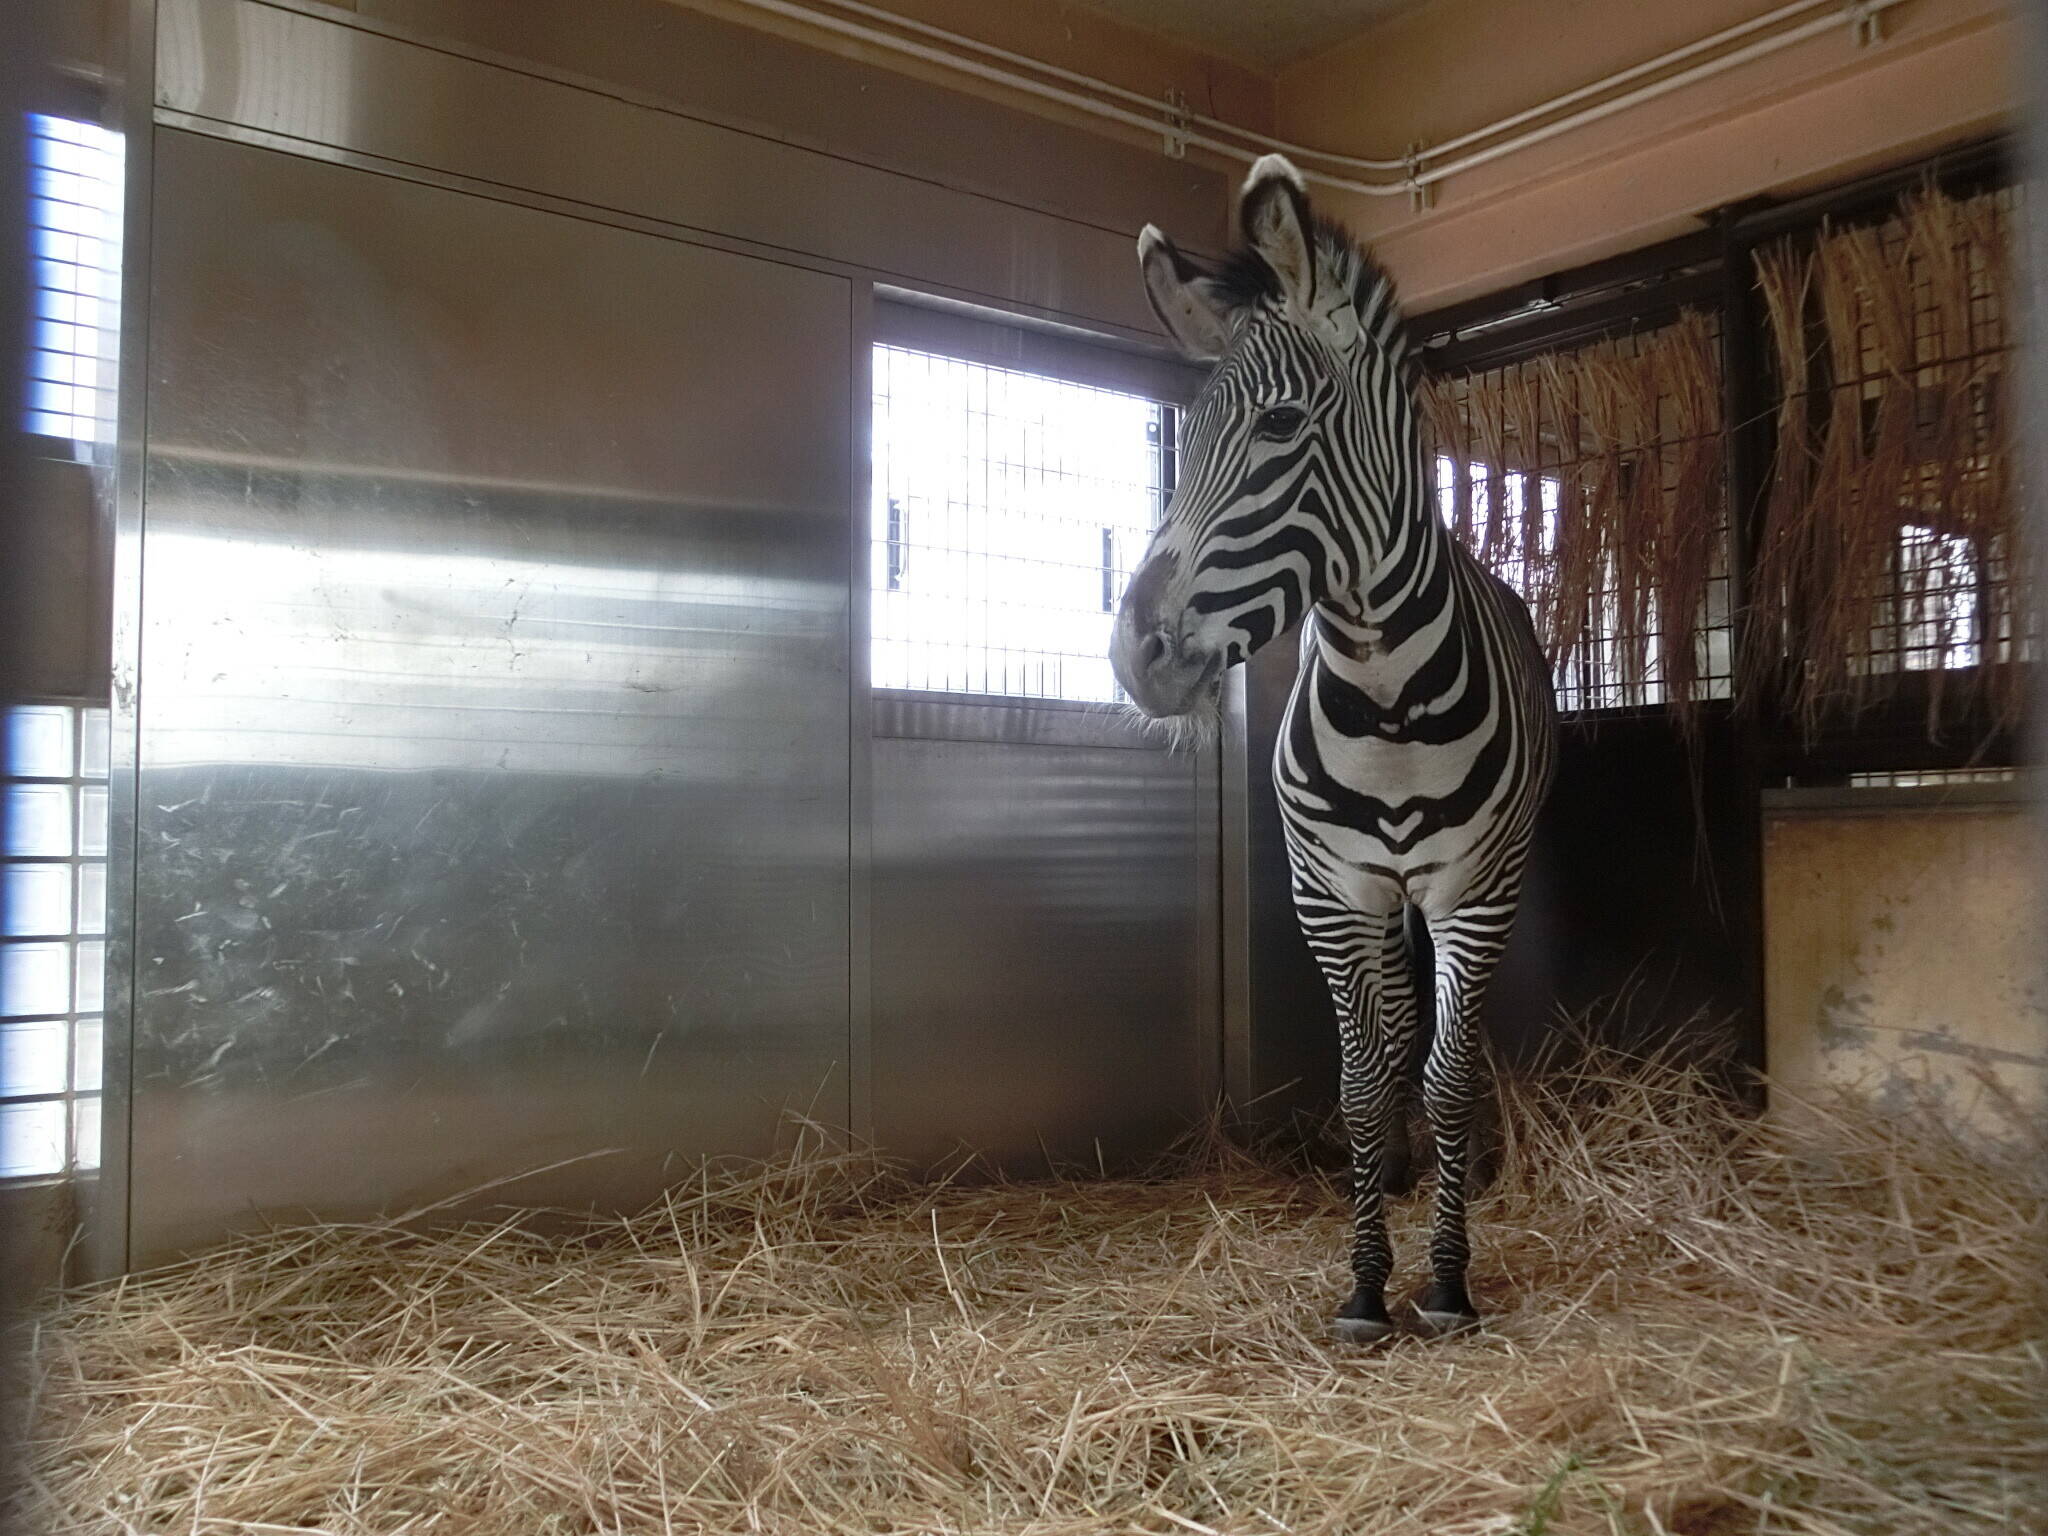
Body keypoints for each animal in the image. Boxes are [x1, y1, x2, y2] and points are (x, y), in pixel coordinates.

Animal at [1114, 150, 1556, 1343]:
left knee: (1437, 1044)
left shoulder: (1474, 894)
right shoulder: (1329, 891)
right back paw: (1395, 1172)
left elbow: (1448, 1074)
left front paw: (1444, 1281)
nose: (1136, 655)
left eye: (1276, 428)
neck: (1387, 698)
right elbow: (1362, 1080)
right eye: (1185, 435)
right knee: (1395, 1031)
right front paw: (1364, 1281)